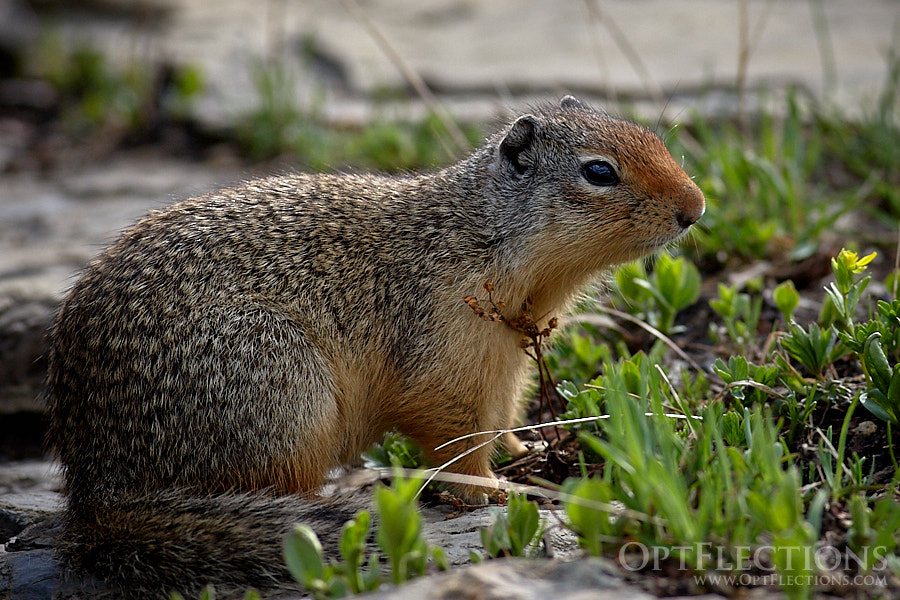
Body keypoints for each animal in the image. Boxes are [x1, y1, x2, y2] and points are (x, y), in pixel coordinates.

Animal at [46, 95, 704, 597]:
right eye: (599, 172)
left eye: (653, 137)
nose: (695, 207)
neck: (480, 234)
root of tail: (98, 494)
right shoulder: (446, 351)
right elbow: (457, 436)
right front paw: (492, 488)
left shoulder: (507, 358)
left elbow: (500, 416)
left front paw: (528, 449)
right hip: (283, 395)